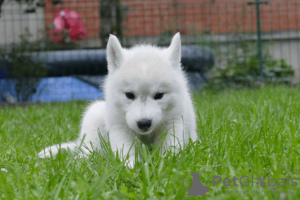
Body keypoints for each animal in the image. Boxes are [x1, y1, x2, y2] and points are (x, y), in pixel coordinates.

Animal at [38, 32, 197, 167]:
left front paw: (166, 163)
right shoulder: (119, 125)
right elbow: (125, 150)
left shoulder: (173, 121)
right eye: (129, 95)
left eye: (159, 95)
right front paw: (131, 166)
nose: (144, 123)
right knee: (88, 150)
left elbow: (168, 147)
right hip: (94, 117)